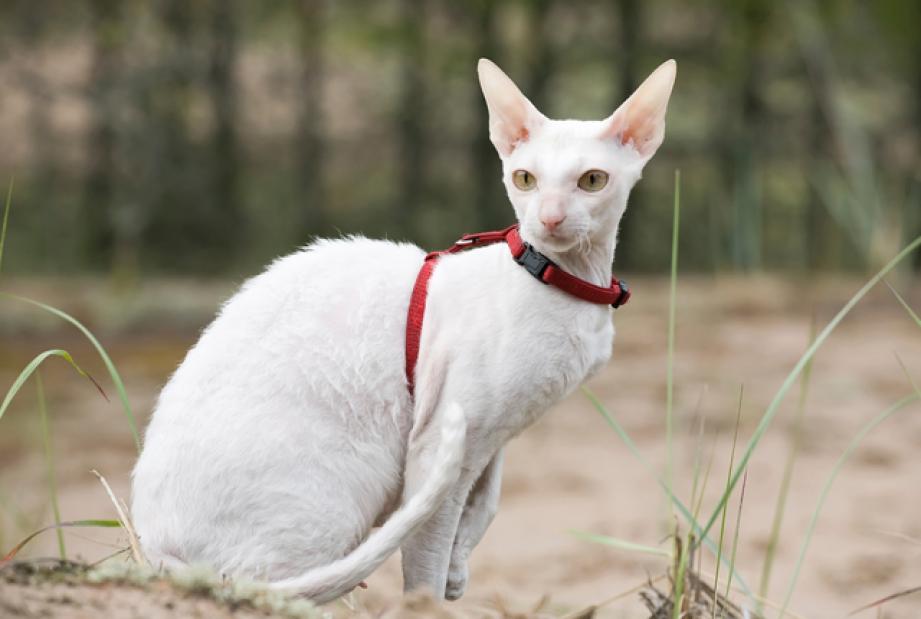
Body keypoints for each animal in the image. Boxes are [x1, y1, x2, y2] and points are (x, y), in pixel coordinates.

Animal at [130, 57, 676, 603]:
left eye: (592, 180)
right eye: (525, 179)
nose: (550, 218)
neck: (565, 281)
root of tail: (153, 545)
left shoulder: (495, 433)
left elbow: (486, 502)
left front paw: (458, 572)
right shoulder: (441, 439)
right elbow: (426, 556)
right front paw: (433, 600)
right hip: (339, 489)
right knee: (274, 588)